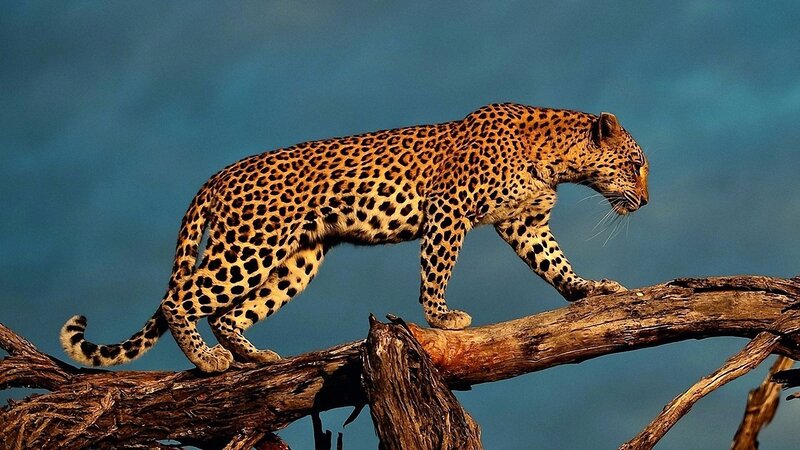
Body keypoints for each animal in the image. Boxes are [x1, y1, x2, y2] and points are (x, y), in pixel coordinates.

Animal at [60, 103, 649, 373]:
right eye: (635, 164)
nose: (644, 203)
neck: (558, 160)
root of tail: (218, 176)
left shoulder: (525, 224)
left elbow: (556, 265)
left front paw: (591, 290)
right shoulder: (448, 211)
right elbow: (436, 269)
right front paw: (442, 319)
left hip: (296, 258)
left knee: (228, 313)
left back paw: (256, 357)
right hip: (250, 246)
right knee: (180, 297)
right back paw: (208, 360)